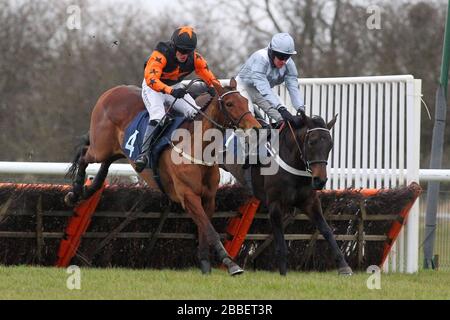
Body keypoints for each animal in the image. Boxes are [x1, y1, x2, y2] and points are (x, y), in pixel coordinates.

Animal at [63, 78, 260, 276]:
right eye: (229, 103)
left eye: (245, 101)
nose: (256, 127)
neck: (197, 148)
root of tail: (112, 91)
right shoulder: (188, 196)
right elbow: (209, 230)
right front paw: (231, 264)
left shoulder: (209, 197)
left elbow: (204, 229)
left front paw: (205, 263)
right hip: (100, 147)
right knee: (84, 154)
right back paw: (75, 192)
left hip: (115, 150)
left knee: (103, 165)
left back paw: (86, 191)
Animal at [221, 112, 352, 276]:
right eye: (312, 142)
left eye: (330, 145)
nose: (320, 180)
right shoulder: (275, 204)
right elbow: (280, 242)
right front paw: (283, 273)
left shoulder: (310, 202)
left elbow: (326, 230)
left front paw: (344, 266)